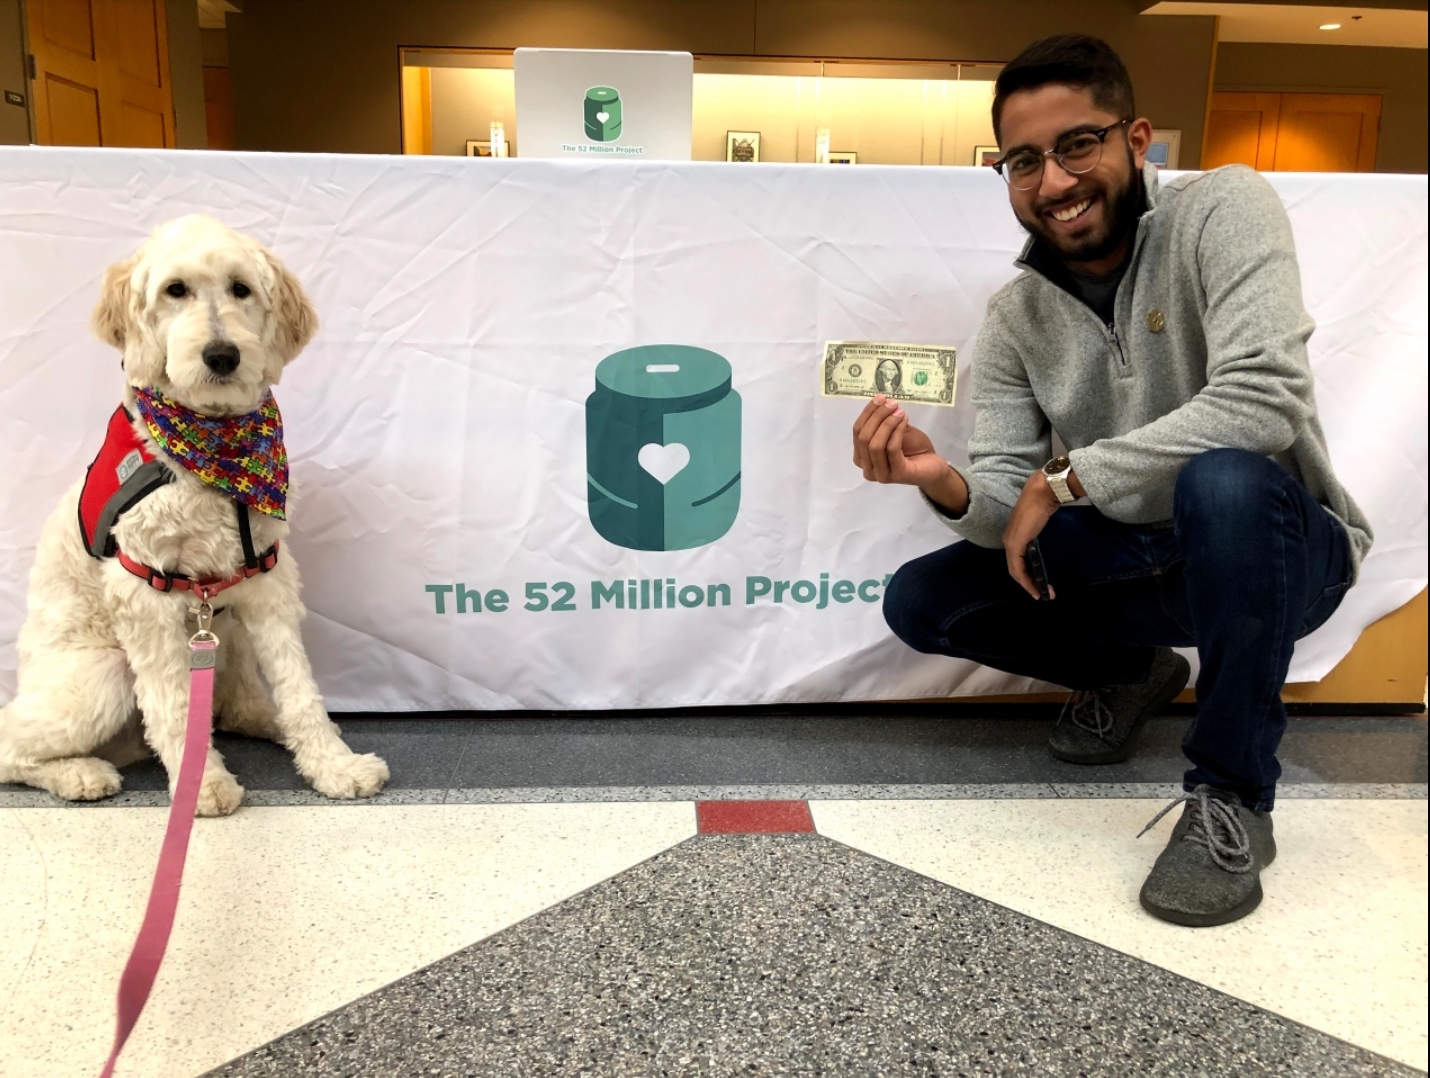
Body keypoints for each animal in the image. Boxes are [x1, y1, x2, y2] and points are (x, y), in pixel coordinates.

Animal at [0, 214, 388, 812]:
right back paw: (80, 774)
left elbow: (299, 687)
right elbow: (174, 705)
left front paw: (333, 764)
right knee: (10, 745)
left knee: (236, 707)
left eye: (241, 289)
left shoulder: (267, 577)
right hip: (104, 671)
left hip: (227, 636)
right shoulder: (144, 591)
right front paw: (201, 786)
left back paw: (269, 721)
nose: (222, 355)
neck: (214, 456)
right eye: (175, 290)